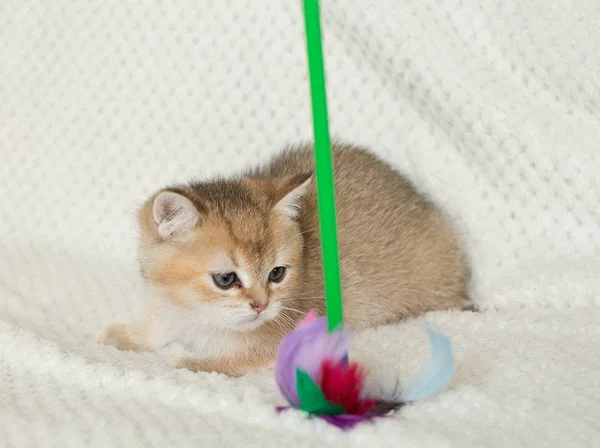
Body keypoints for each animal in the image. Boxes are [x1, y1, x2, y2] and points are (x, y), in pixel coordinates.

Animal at [98, 144, 472, 374]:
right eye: (226, 279)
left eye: (276, 274)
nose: (261, 305)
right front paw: (127, 336)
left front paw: (194, 364)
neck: (199, 315)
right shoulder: (168, 307)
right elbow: (158, 327)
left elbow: (236, 357)